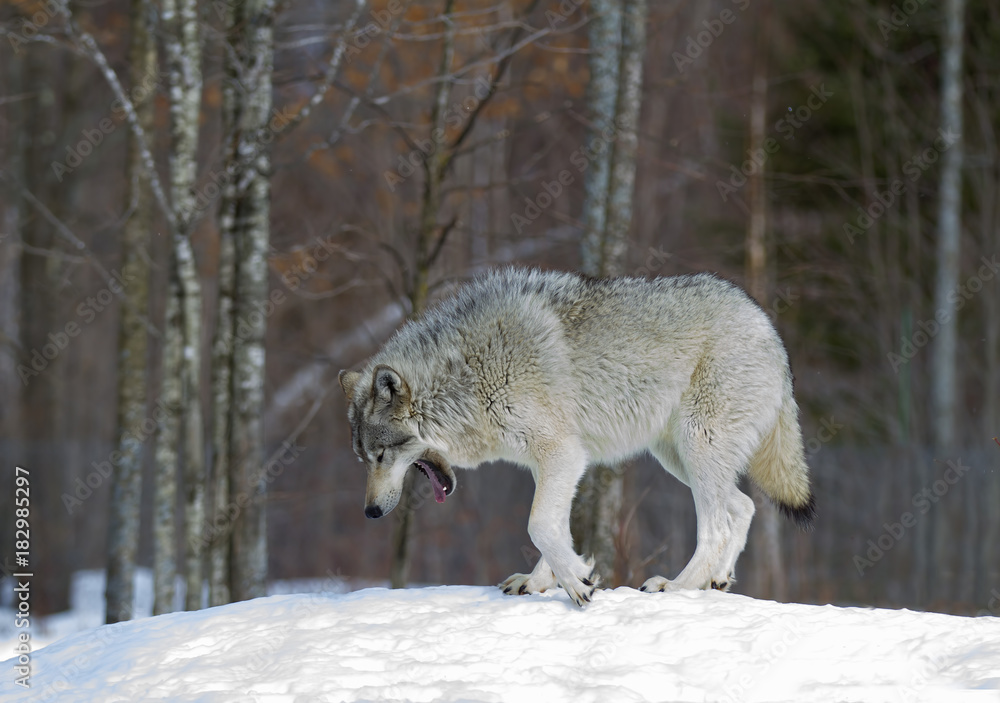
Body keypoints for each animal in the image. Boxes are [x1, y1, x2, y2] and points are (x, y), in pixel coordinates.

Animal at [339, 268, 814, 607]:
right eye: (363, 459)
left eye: (381, 455)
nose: (370, 512)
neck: (467, 377)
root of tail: (771, 329)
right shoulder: (552, 463)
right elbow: (554, 529)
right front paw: (542, 581)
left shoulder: (562, 454)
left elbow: (538, 525)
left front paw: (578, 583)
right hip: (679, 459)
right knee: (745, 506)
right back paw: (716, 579)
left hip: (697, 449)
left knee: (716, 527)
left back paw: (678, 588)